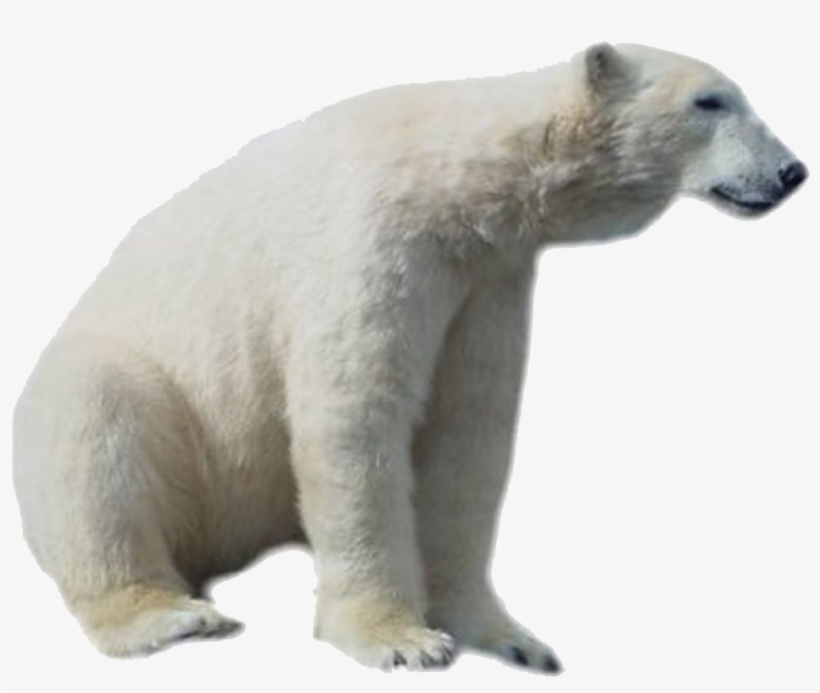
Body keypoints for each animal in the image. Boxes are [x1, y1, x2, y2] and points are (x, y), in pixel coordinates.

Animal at [12, 43, 808, 672]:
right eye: (711, 100)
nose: (792, 171)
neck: (453, 180)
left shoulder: (485, 278)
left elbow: (466, 435)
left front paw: (510, 638)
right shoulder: (374, 241)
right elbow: (356, 418)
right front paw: (401, 640)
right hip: (156, 409)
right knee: (95, 425)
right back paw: (175, 614)